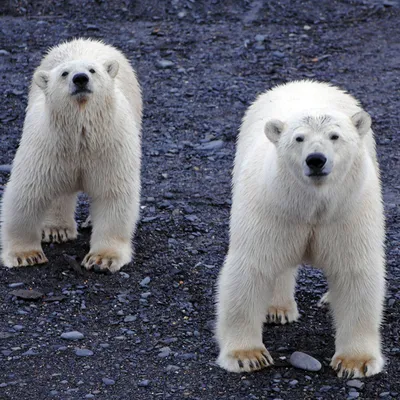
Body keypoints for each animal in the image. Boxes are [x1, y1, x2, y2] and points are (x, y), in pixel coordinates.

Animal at [0, 39, 142, 274]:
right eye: (64, 73)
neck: (80, 136)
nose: (80, 78)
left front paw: (102, 260)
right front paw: (26, 255)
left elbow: (113, 194)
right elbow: (27, 193)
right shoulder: (47, 148)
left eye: (93, 70)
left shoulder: (110, 149)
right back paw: (57, 229)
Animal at [217, 80, 386, 378]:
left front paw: (355, 363)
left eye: (334, 136)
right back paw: (278, 308)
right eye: (299, 138)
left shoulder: (348, 211)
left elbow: (355, 271)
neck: (312, 204)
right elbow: (252, 266)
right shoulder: (272, 206)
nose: (316, 159)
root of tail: (304, 82)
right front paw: (247, 356)